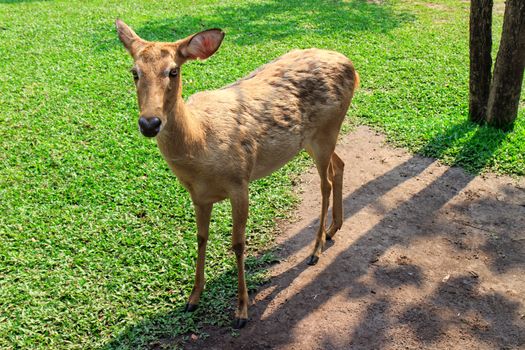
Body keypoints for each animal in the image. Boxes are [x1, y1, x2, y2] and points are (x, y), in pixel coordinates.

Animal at [116, 19, 358, 328]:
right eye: (134, 72)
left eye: (173, 70)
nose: (150, 123)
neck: (200, 142)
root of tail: (351, 65)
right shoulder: (198, 195)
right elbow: (201, 237)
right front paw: (193, 298)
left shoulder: (239, 180)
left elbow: (238, 243)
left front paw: (242, 311)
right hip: (314, 139)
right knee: (339, 165)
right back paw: (333, 228)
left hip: (327, 128)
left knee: (325, 182)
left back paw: (316, 250)